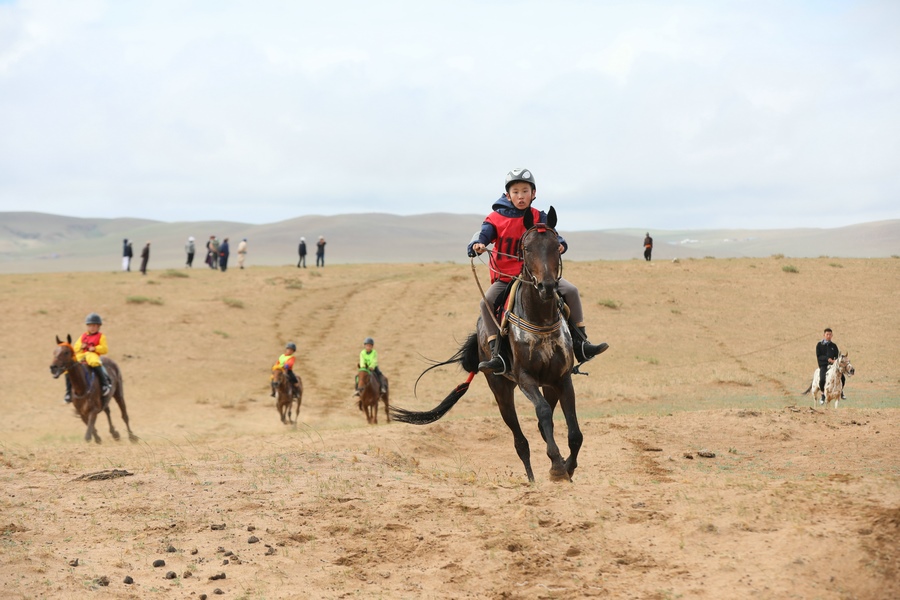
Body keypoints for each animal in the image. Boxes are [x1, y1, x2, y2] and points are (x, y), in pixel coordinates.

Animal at [391, 207, 582, 482]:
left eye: (556, 246)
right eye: (527, 248)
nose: (546, 286)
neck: (540, 318)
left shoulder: (561, 378)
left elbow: (575, 433)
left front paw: (568, 468)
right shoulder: (525, 379)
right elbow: (544, 413)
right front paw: (557, 466)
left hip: (547, 385)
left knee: (542, 425)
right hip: (501, 390)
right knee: (521, 442)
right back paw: (531, 479)